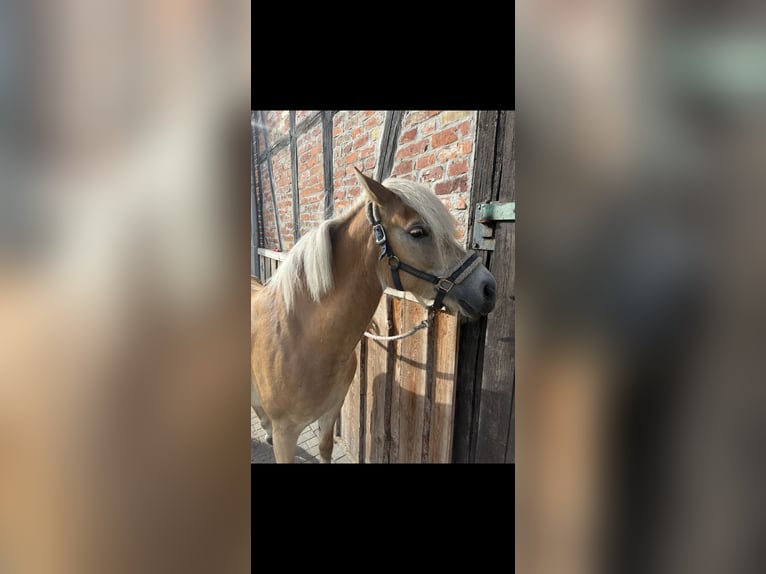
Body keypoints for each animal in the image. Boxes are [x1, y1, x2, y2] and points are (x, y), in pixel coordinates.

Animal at [252, 168, 498, 464]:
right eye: (418, 232)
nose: (488, 288)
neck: (300, 341)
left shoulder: (330, 413)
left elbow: (324, 449)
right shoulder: (285, 434)